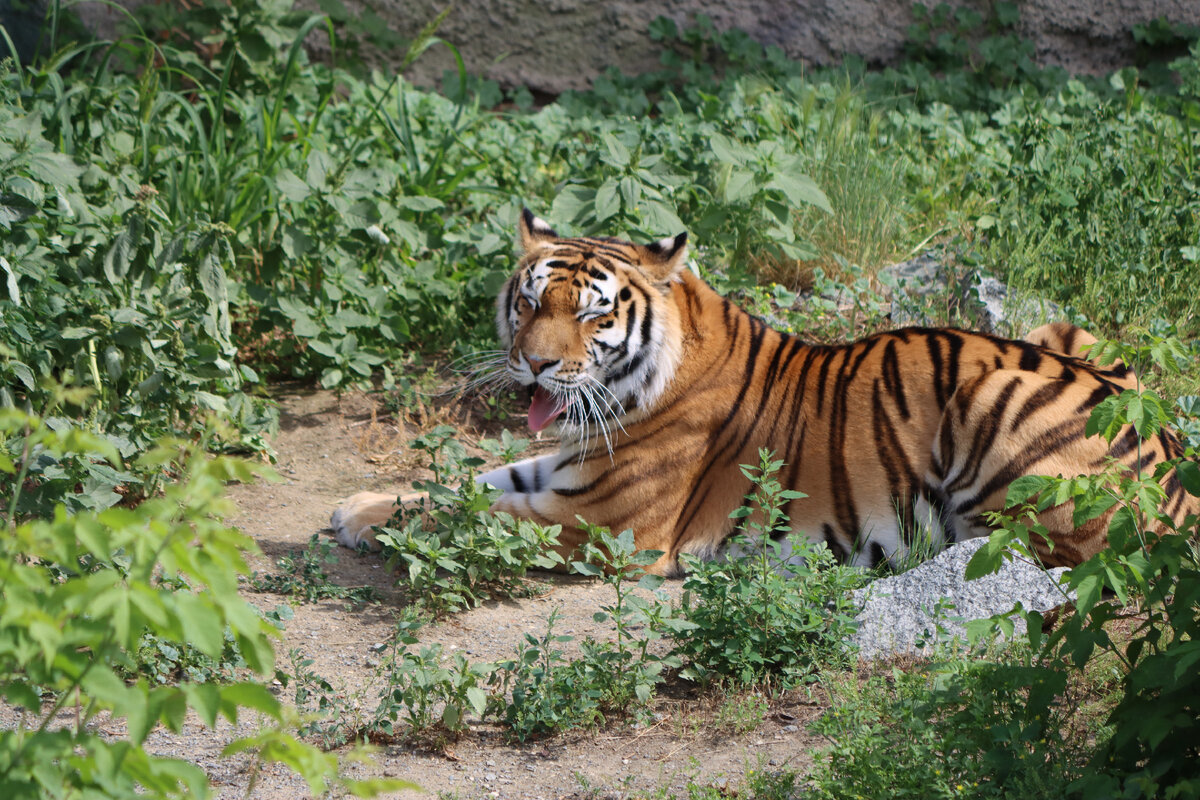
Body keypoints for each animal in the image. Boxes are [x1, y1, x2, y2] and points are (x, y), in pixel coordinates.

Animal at [331, 209, 1200, 573]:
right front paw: (359, 508)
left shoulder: (601, 519)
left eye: (591, 314)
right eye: (530, 301)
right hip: (1069, 332)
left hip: (993, 397)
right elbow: (460, 486)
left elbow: (477, 517)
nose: (536, 367)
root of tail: (1174, 458)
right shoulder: (570, 467)